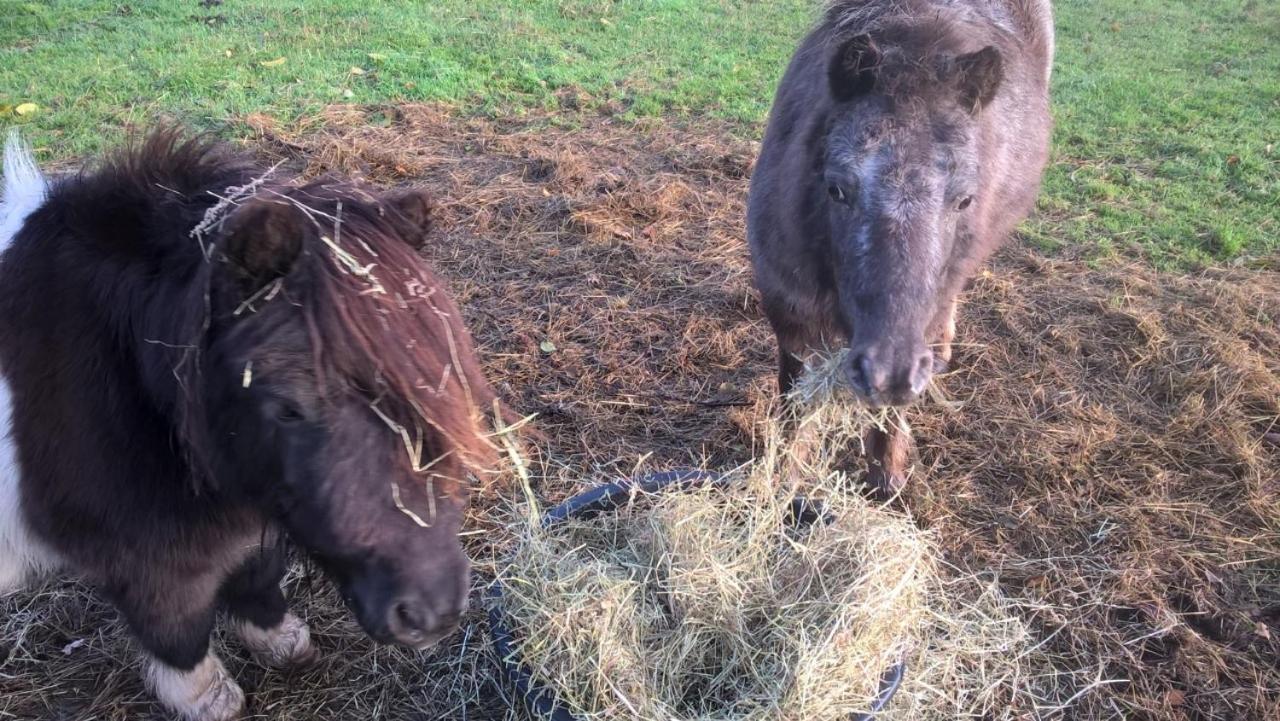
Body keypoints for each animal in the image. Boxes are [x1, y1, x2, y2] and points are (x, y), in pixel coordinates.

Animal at [0, 129, 499, 721]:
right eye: (287, 407)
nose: (432, 612)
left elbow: (259, 579)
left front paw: (280, 642)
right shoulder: (146, 558)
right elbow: (178, 626)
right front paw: (207, 699)